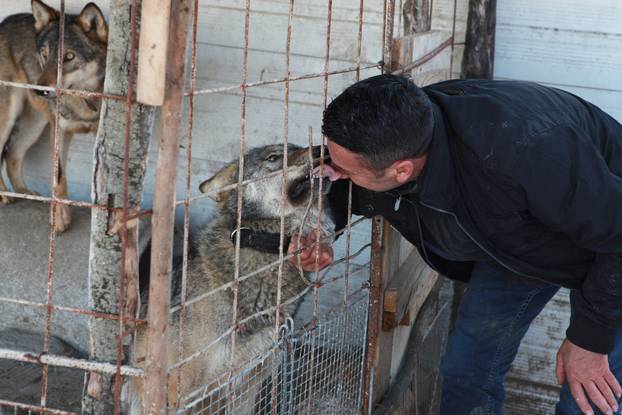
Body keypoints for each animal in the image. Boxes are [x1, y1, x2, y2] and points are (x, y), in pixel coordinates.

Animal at [0, 0, 107, 234]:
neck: (83, 100)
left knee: (12, 153)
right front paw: (59, 220)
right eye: (44, 54)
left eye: (69, 57)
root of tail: (3, 22)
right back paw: (5, 195)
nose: (39, 90)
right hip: (10, 118)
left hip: (35, 125)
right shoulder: (59, 131)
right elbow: (59, 179)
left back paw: (25, 193)